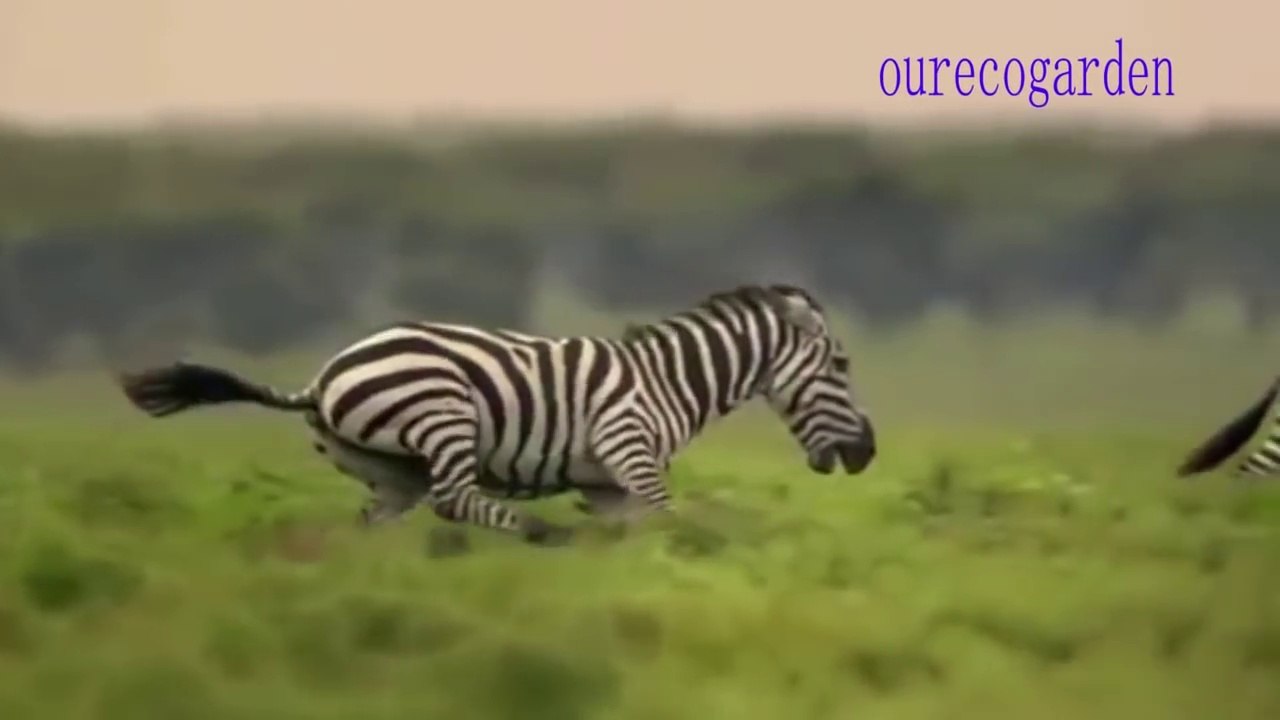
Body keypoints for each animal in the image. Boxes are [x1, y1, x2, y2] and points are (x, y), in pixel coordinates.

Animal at [116, 283, 878, 546]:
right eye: (842, 366)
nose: (868, 453)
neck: (669, 381)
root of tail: (319, 379)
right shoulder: (631, 450)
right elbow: (674, 521)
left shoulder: (607, 485)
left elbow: (634, 535)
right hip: (443, 410)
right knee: (456, 498)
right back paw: (539, 531)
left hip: (388, 473)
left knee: (375, 524)